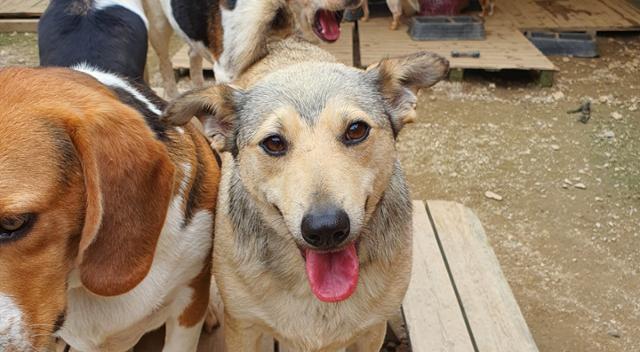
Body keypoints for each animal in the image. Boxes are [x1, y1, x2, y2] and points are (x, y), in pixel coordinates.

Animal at [162, 0, 448, 350]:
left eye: (356, 130)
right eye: (273, 142)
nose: (326, 229)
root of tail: (284, 41)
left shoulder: (371, 331)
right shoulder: (243, 327)